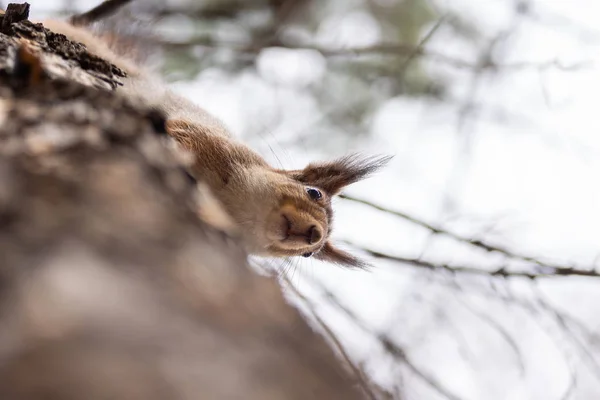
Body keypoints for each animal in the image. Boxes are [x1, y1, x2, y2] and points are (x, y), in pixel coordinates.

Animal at [39, 7, 392, 268]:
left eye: (310, 255)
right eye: (314, 192)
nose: (314, 236)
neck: (228, 202)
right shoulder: (204, 137)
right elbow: (176, 132)